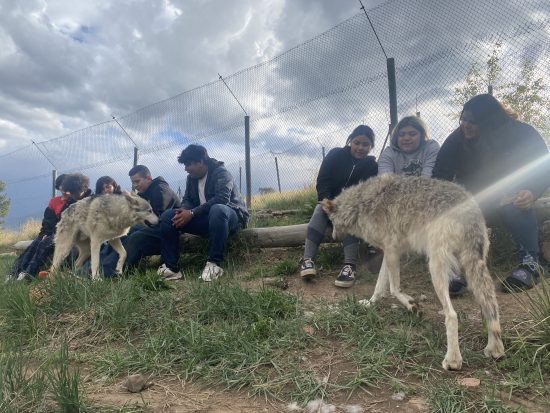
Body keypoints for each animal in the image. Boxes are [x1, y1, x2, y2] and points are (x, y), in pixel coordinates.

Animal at [322, 172, 506, 368]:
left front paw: (412, 305)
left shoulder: (392, 251)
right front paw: (370, 303)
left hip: (435, 269)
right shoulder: (389, 252)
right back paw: (495, 349)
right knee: (490, 308)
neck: (361, 205)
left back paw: (453, 360)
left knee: (452, 315)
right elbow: (379, 286)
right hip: (475, 269)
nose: (333, 237)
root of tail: (469, 210)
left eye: (331, 222)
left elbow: (393, 288)